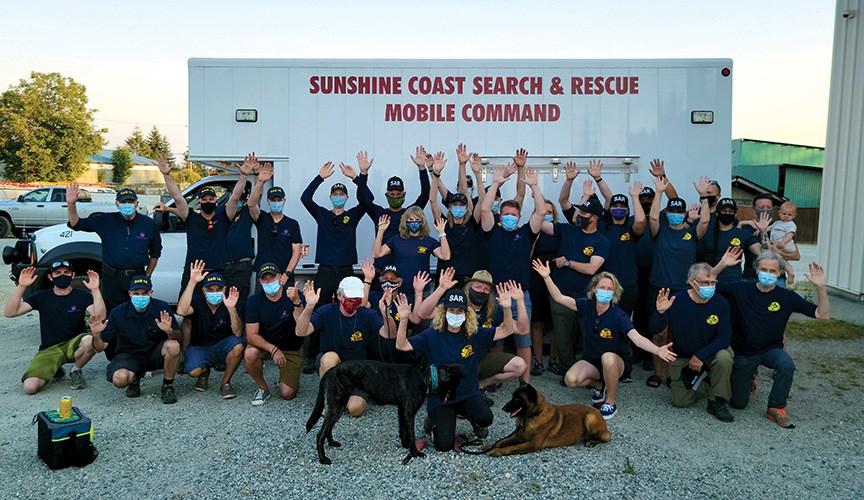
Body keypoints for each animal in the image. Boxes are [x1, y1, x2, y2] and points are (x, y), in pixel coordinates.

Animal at [306, 360, 462, 464]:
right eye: (455, 385)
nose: (455, 398)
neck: (427, 376)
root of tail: (331, 371)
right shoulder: (409, 412)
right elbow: (411, 434)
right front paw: (415, 453)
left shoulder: (402, 409)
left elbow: (403, 430)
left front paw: (405, 446)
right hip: (336, 406)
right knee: (320, 434)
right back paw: (323, 459)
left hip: (338, 406)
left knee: (328, 428)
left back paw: (332, 443)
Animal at [482, 382, 612, 458]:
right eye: (512, 397)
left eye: (517, 399)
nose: (503, 408)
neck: (533, 415)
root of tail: (597, 412)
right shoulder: (517, 437)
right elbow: (502, 441)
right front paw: (490, 446)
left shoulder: (533, 444)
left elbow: (513, 447)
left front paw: (498, 451)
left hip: (590, 418)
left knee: (606, 437)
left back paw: (592, 441)